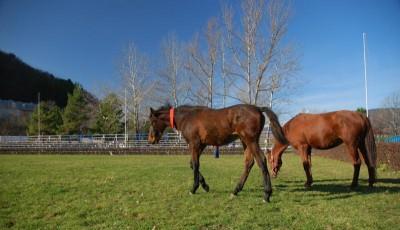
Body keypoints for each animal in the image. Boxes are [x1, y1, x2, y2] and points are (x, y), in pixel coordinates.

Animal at [147, 103, 288, 202]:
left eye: (152, 121)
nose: (151, 140)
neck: (187, 117)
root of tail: (258, 108)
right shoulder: (201, 145)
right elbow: (192, 164)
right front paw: (205, 186)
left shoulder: (194, 144)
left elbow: (195, 165)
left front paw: (194, 188)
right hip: (245, 142)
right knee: (249, 163)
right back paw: (236, 191)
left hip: (250, 140)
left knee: (261, 161)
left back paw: (266, 194)